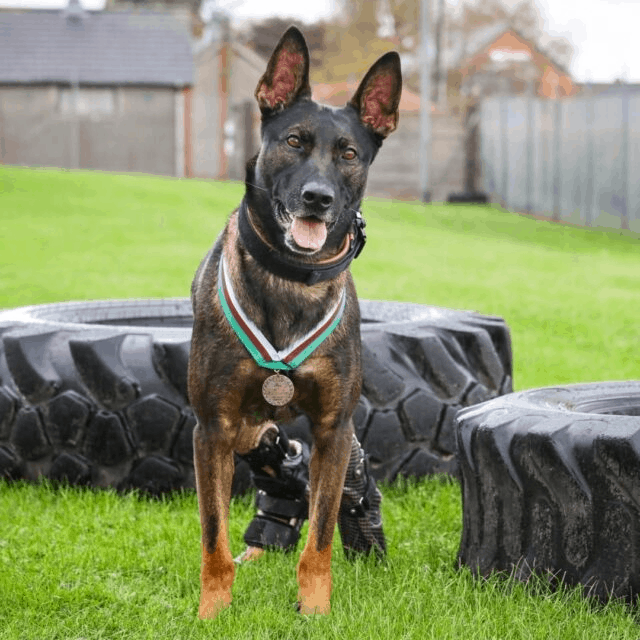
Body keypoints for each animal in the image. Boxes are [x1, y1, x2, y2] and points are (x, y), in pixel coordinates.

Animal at [188, 26, 402, 620]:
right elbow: (213, 539)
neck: (291, 278)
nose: (318, 198)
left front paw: (315, 611)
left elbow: (321, 538)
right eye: (294, 141)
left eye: (349, 153)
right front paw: (212, 613)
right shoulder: (212, 428)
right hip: (241, 429)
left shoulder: (333, 429)